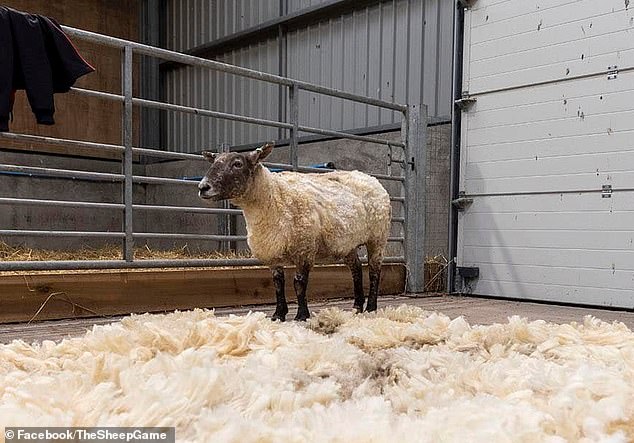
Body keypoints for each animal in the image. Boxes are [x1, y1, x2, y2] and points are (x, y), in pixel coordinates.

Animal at [198, 142, 390, 322]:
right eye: (214, 162)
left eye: (237, 163)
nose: (202, 187)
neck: (274, 197)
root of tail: (370, 178)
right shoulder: (272, 253)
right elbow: (277, 283)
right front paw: (278, 314)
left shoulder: (304, 249)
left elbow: (299, 283)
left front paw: (301, 315)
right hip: (348, 243)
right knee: (356, 270)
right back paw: (357, 306)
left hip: (378, 237)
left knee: (374, 271)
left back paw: (371, 307)